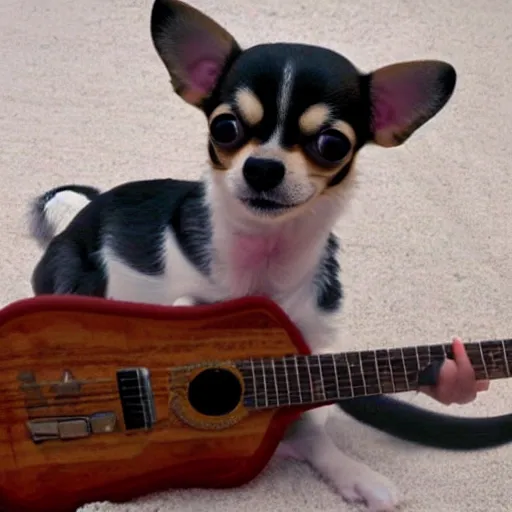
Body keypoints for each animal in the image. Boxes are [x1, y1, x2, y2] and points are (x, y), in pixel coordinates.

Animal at [27, 1, 512, 512]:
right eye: (224, 127)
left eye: (333, 144)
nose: (262, 167)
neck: (266, 250)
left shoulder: (305, 348)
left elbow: (308, 425)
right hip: (72, 272)